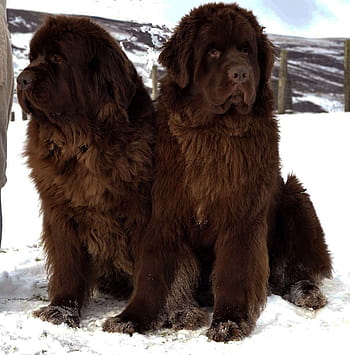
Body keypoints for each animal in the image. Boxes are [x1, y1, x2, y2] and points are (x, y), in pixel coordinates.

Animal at [16, 16, 153, 328]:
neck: (81, 144)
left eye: (57, 58)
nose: (22, 79)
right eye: (31, 58)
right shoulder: (60, 211)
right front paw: (61, 310)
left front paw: (132, 318)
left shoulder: (143, 215)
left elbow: (148, 271)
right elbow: (68, 265)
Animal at [106, 2, 330, 342]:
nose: (241, 73)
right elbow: (152, 274)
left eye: (246, 50)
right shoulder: (165, 215)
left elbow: (235, 272)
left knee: (296, 266)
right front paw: (130, 318)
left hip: (295, 196)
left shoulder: (241, 217)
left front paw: (229, 321)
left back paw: (305, 290)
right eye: (212, 52)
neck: (214, 131)